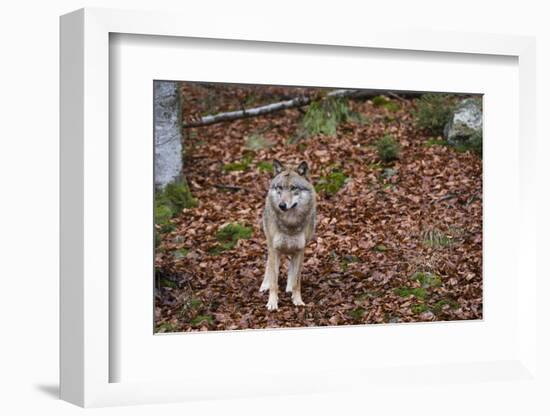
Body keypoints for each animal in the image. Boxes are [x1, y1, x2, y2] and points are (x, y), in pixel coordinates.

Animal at [260, 161, 316, 310]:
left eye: (293, 188)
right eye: (280, 187)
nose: (282, 205)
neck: (290, 223)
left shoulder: (300, 250)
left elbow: (297, 281)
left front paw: (297, 300)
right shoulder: (275, 250)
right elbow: (274, 282)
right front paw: (272, 303)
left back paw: (289, 287)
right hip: (270, 244)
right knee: (269, 265)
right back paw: (264, 286)